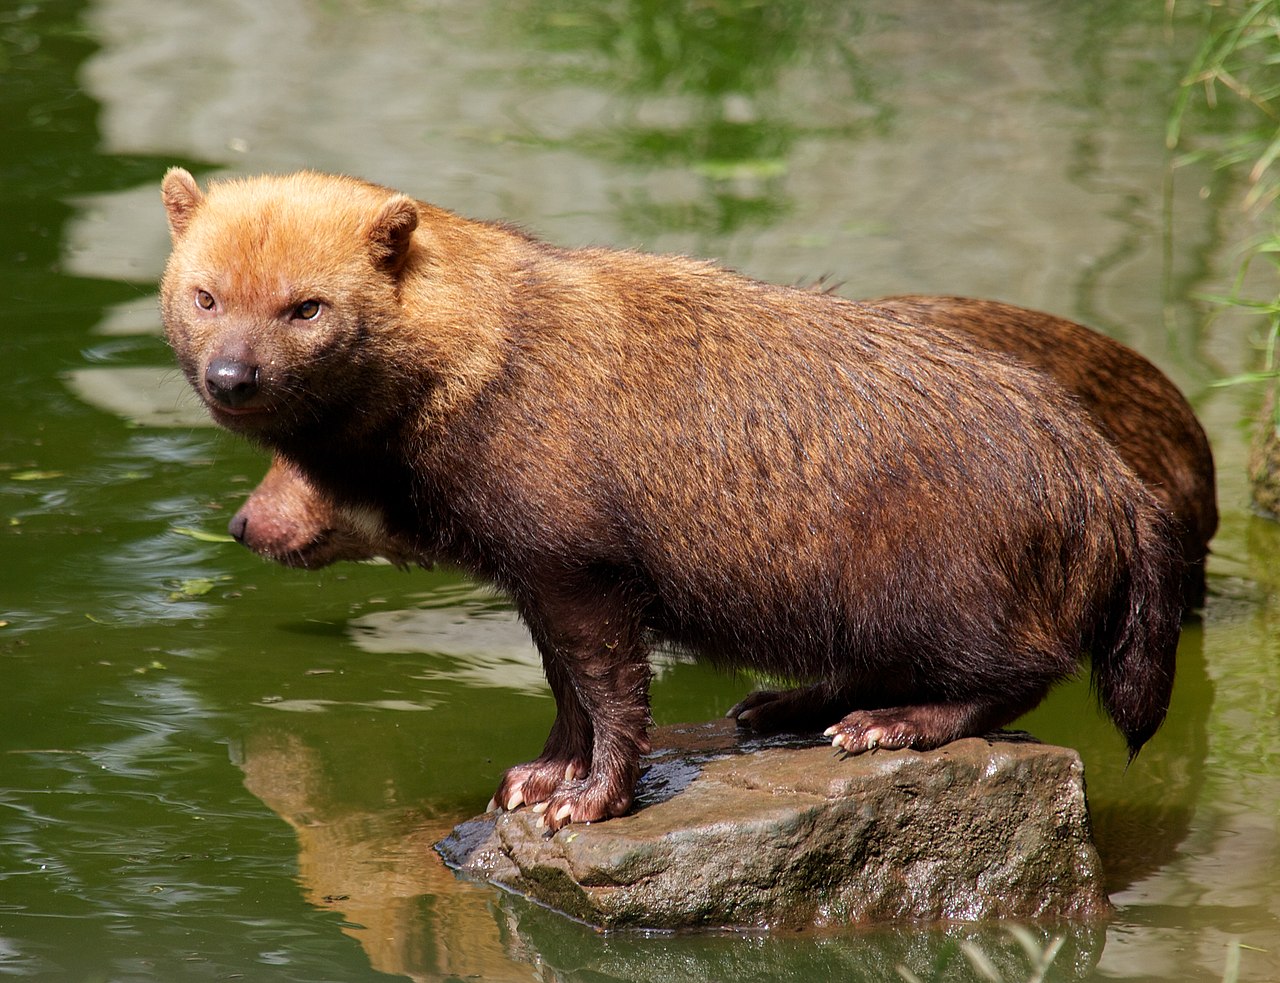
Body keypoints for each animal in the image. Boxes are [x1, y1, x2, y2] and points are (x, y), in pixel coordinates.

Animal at [165, 168, 1182, 829]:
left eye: (307, 306)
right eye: (204, 295)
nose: (232, 377)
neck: (485, 364)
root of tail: (1106, 477)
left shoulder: (579, 561)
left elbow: (614, 691)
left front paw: (588, 799)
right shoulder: (535, 574)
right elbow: (567, 690)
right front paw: (541, 775)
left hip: (931, 583)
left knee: (1017, 671)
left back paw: (887, 724)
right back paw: (781, 706)